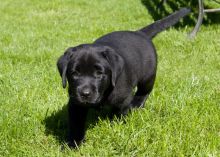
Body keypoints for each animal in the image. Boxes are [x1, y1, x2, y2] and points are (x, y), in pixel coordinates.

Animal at [57, 7, 191, 147]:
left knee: (144, 92)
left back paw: (136, 105)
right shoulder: (75, 103)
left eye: (99, 73)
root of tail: (140, 33)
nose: (85, 94)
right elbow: (76, 124)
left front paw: (115, 128)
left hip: (148, 76)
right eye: (75, 73)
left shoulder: (123, 98)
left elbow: (119, 114)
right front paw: (73, 144)